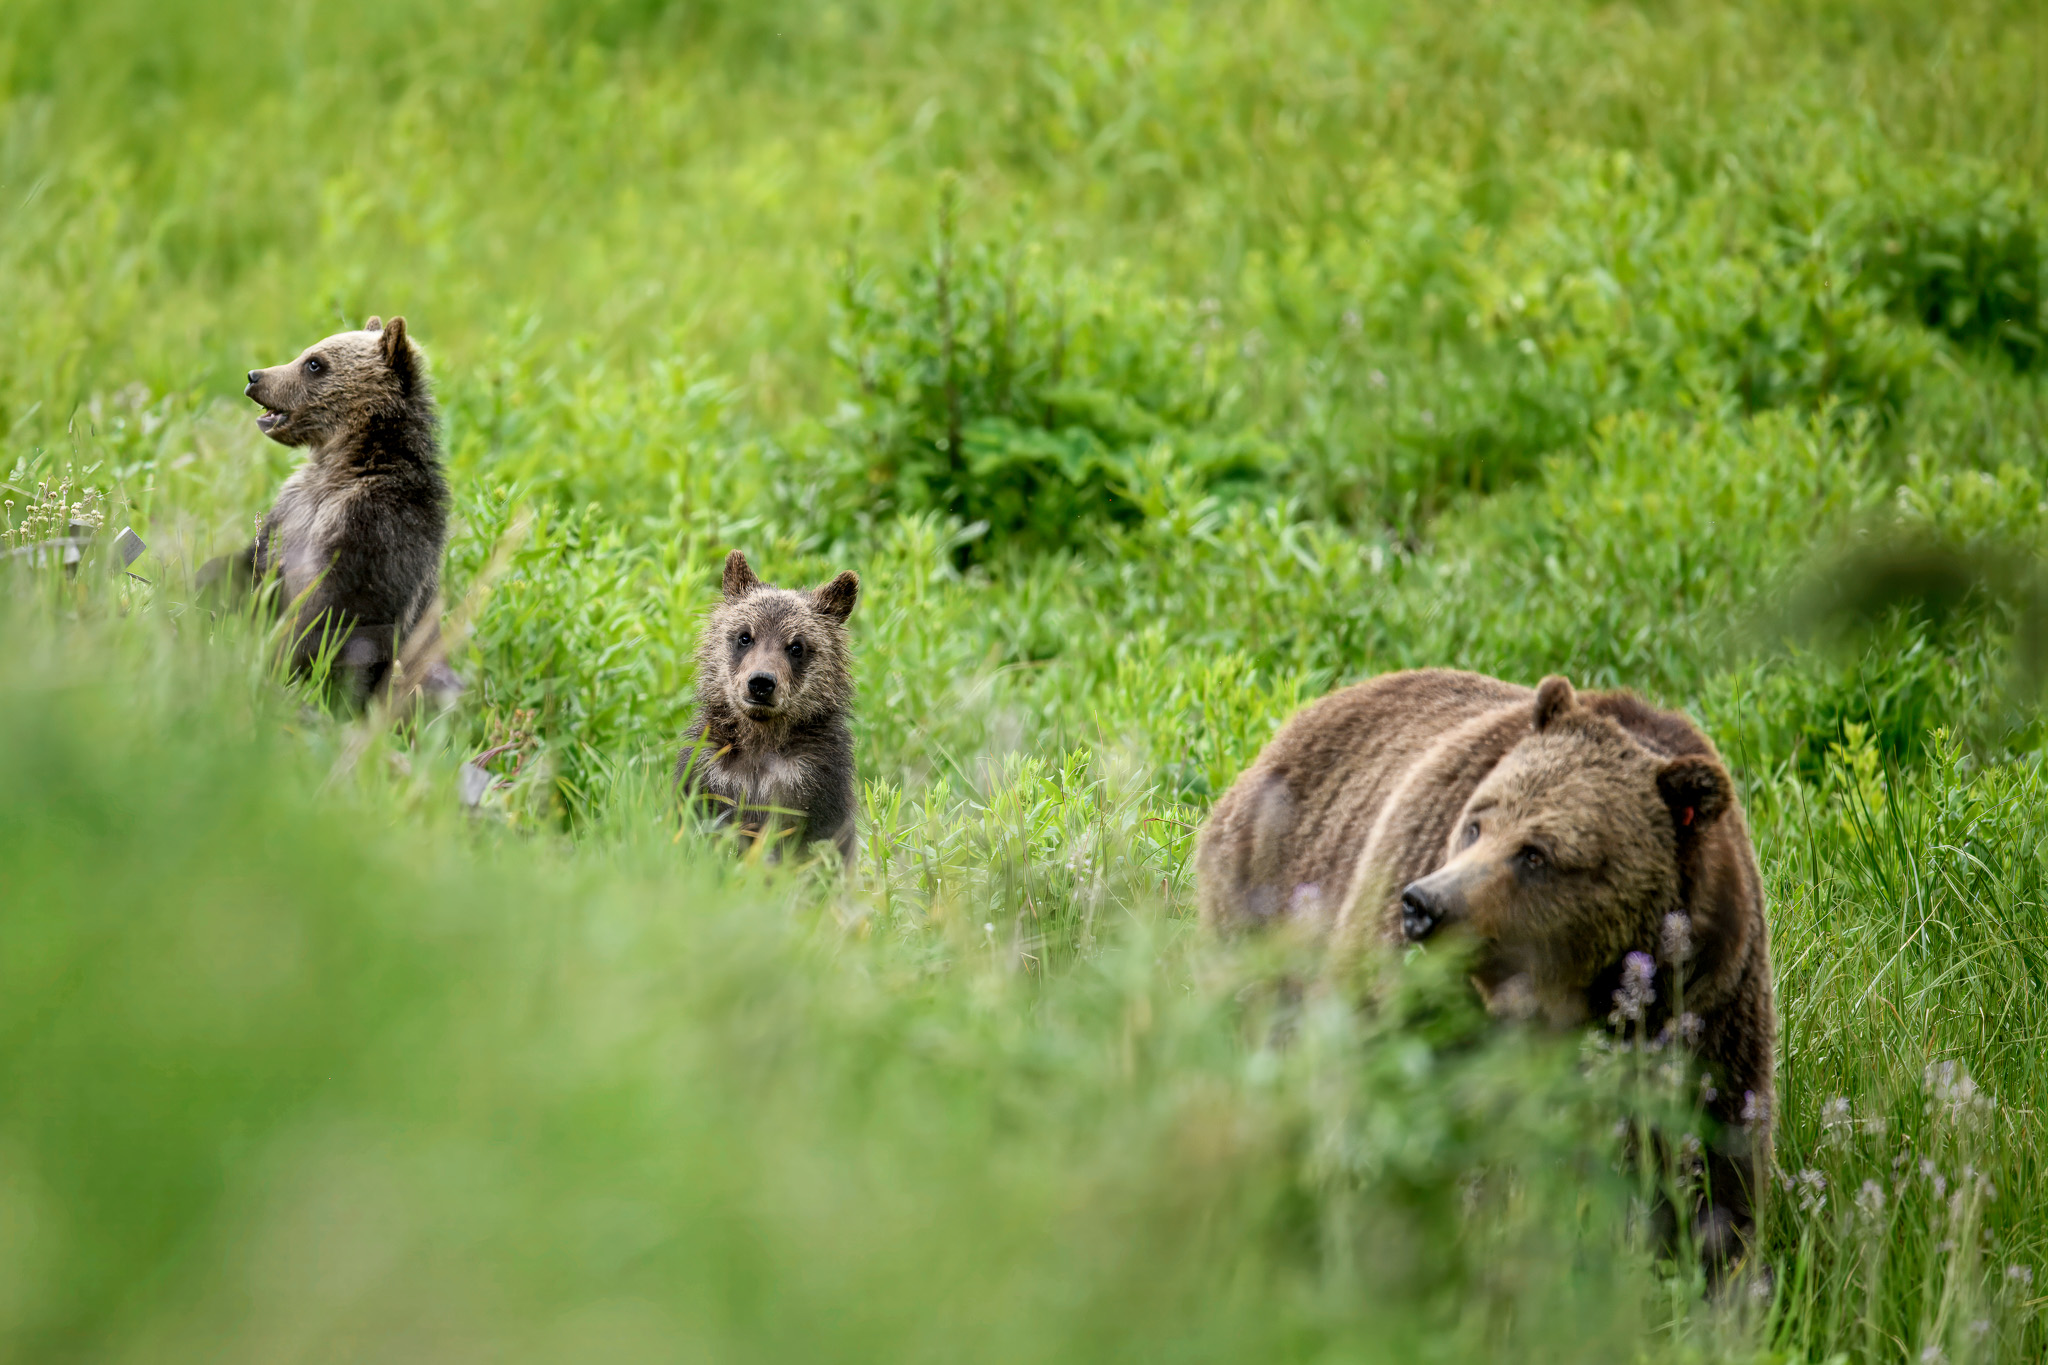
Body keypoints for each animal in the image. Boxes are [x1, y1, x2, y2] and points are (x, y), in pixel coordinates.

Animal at [198, 316, 455, 711]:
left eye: (314, 363)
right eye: (308, 354)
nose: (255, 376)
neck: (343, 464)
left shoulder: (376, 527)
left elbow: (345, 621)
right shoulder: (292, 511)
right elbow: (251, 563)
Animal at [675, 550, 861, 870]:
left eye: (796, 646)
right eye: (745, 636)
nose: (761, 682)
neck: (761, 743)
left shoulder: (814, 782)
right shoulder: (709, 773)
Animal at [1197, 668, 1775, 1272]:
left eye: (1536, 854)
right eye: (1476, 825)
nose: (1423, 904)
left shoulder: (1706, 1000)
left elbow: (1711, 1145)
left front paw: (1714, 1257)